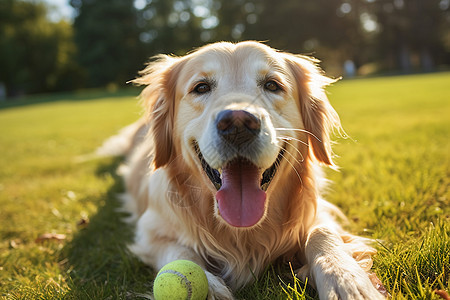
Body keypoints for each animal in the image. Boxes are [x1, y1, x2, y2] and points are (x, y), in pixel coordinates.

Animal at [100, 41, 384, 298]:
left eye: (272, 85)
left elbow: (322, 232)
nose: (237, 124)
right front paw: (208, 286)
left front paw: (346, 281)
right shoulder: (150, 231)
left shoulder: (318, 212)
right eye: (201, 87)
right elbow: (179, 251)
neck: (242, 235)